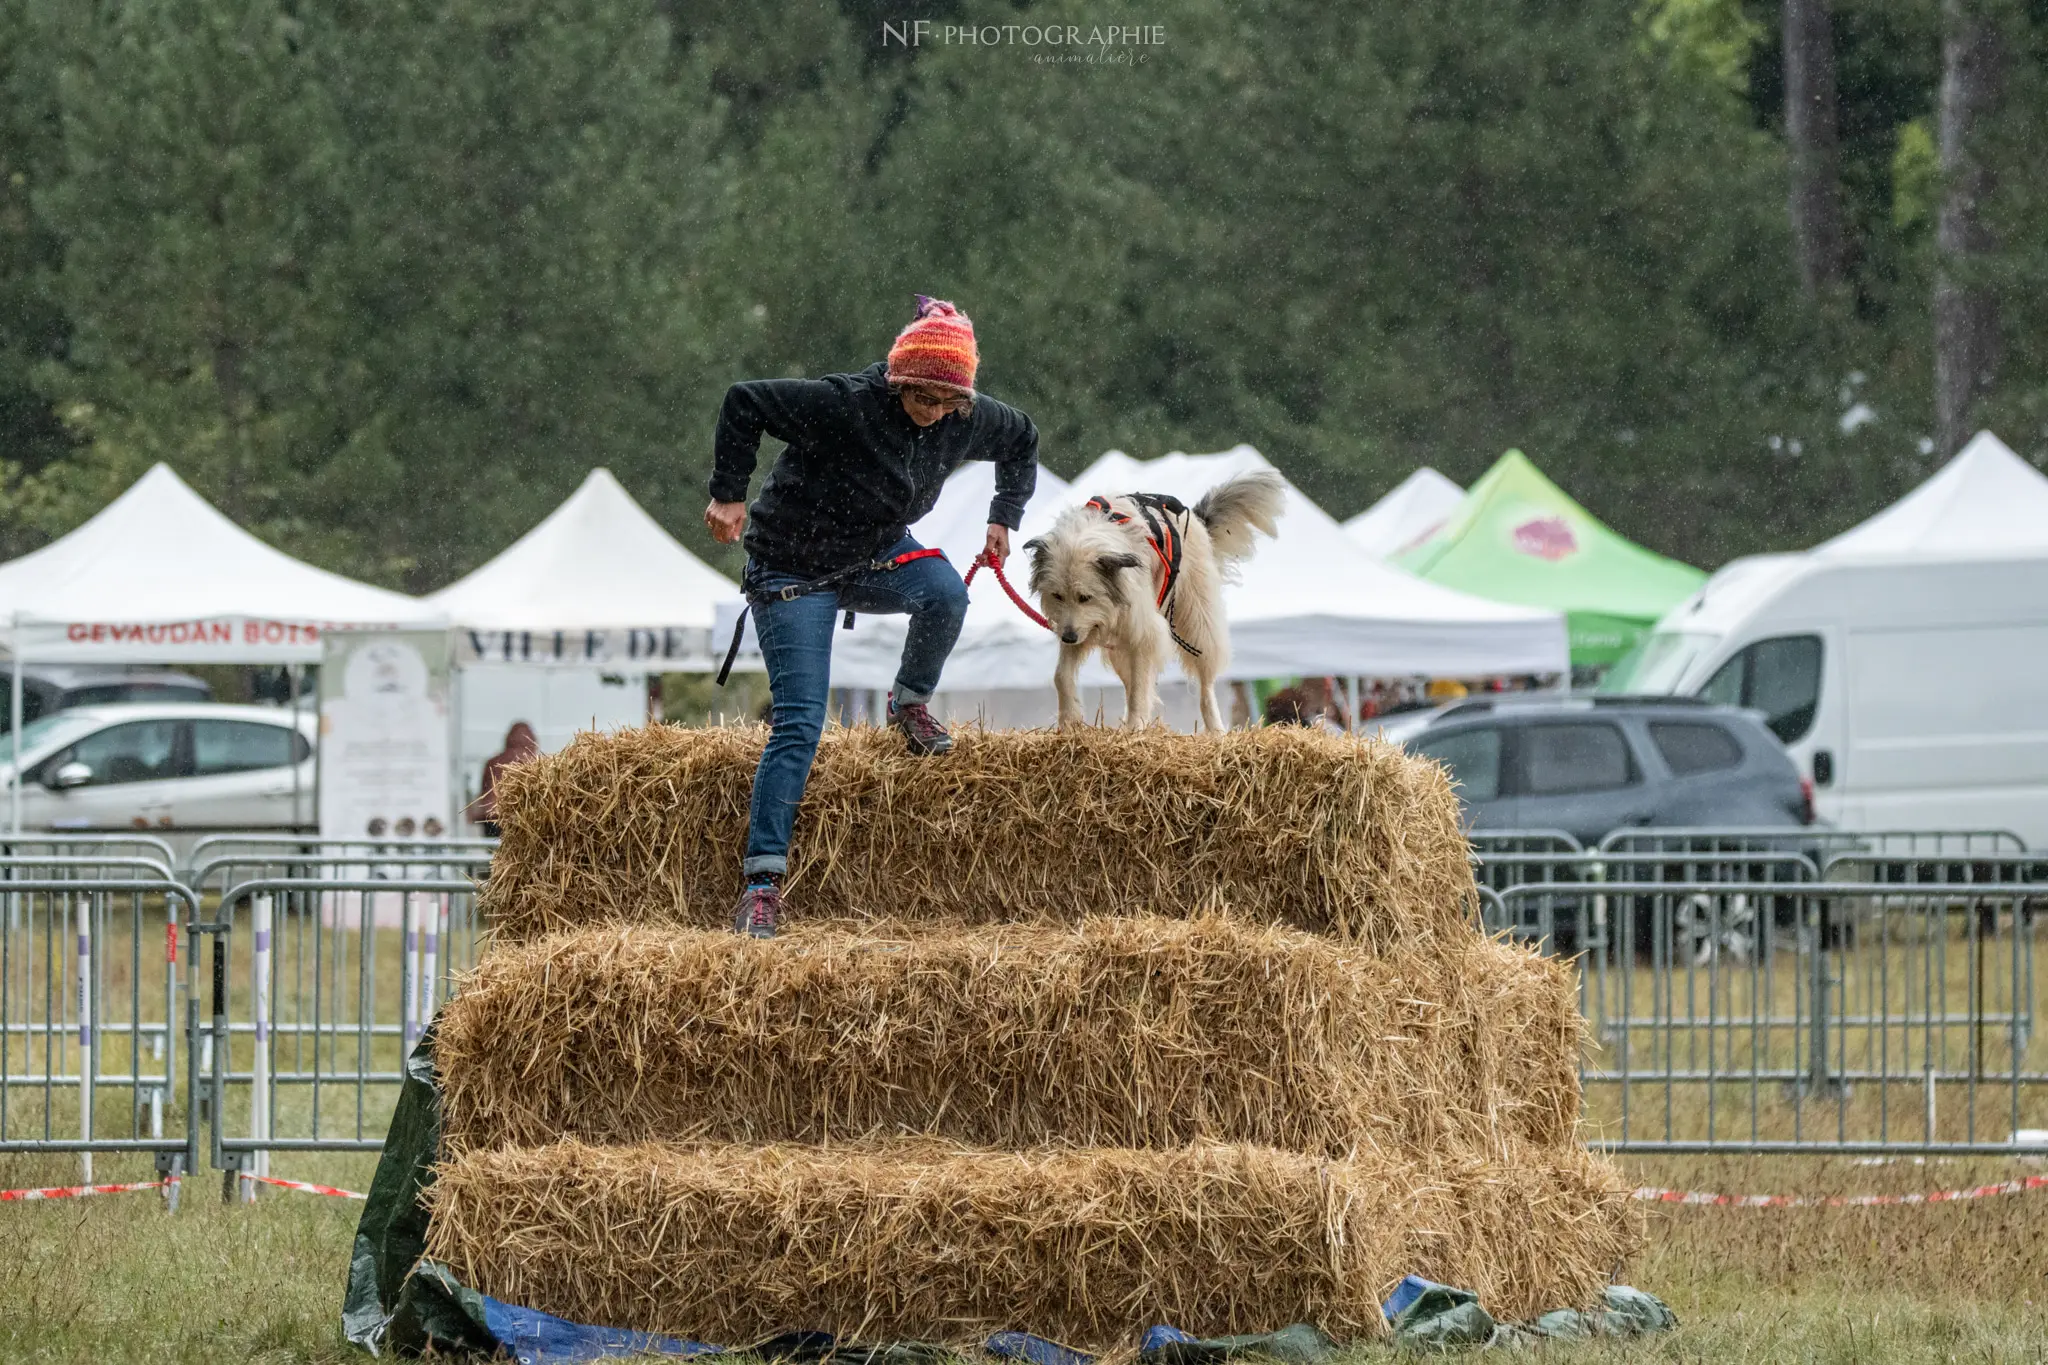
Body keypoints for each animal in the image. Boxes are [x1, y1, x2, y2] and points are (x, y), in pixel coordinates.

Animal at [1024, 470, 1277, 732]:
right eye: (1057, 595)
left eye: (1085, 597)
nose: (1068, 638)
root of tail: (1196, 520)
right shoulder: (1082, 626)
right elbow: (1062, 676)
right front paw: (1069, 721)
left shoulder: (1143, 633)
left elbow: (1139, 687)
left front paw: (1135, 728)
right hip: (1120, 647)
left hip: (1199, 624)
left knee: (1205, 683)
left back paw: (1215, 729)